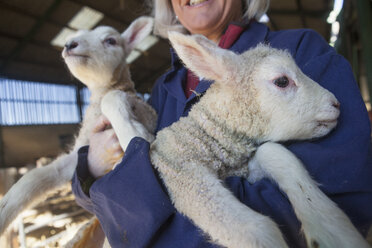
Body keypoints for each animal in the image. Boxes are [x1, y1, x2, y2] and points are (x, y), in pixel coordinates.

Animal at [0, 16, 156, 238]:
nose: (69, 44)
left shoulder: (149, 114)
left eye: (111, 40)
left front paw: (132, 134)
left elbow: (112, 99)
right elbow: (34, 177)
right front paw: (3, 210)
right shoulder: (79, 153)